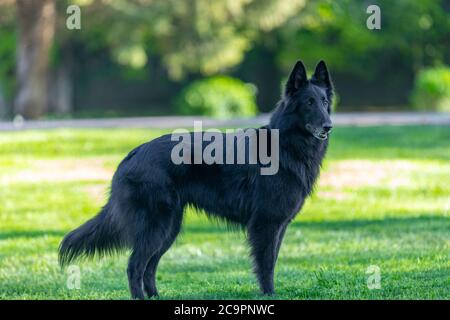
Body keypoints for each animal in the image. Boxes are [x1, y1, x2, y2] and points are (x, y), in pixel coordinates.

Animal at [59, 60, 332, 300]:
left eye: (325, 102)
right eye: (308, 102)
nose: (329, 126)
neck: (284, 144)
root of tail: (132, 155)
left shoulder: (279, 226)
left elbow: (272, 260)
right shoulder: (266, 225)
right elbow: (266, 265)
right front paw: (269, 294)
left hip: (169, 228)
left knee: (149, 266)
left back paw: (156, 296)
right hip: (157, 226)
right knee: (135, 265)